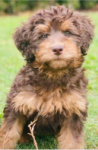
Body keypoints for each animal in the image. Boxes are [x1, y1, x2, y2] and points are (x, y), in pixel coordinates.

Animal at [0, 5, 94, 149]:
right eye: (44, 35)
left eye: (67, 33)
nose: (57, 49)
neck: (53, 74)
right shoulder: (17, 104)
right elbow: (8, 134)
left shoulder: (74, 110)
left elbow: (71, 141)